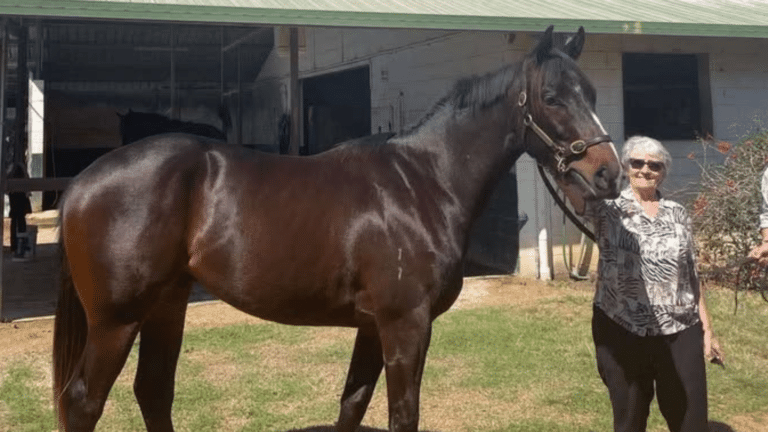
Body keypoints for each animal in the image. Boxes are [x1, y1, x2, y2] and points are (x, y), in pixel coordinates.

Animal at [53, 26, 622, 432]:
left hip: (167, 305)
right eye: (552, 97)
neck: (424, 184)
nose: (609, 174)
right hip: (117, 320)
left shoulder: (371, 327)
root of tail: (83, 182)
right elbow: (402, 414)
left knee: (153, 391)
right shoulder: (404, 324)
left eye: (594, 93)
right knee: (85, 403)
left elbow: (352, 405)